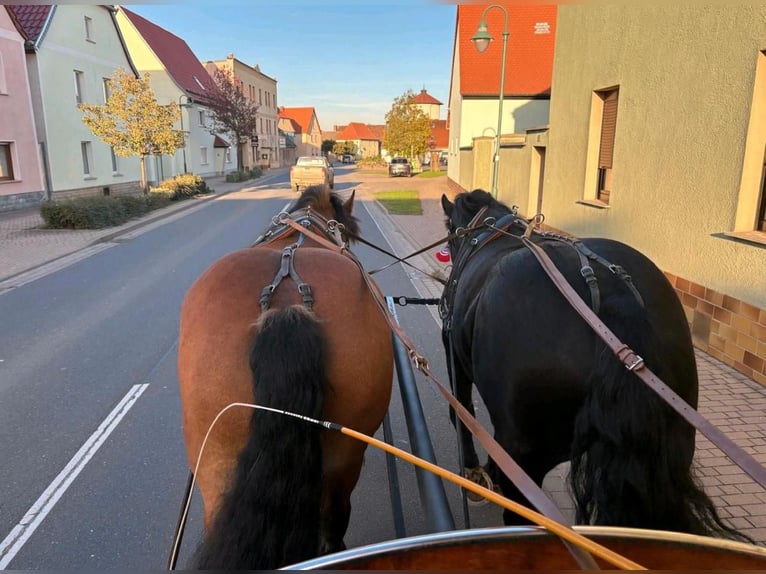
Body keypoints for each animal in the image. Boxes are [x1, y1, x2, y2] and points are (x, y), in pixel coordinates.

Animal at [444, 191, 744, 544]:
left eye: (451, 231)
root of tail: (615, 294)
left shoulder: (454, 354)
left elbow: (462, 409)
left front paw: (474, 471)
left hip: (527, 451)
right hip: (676, 443)